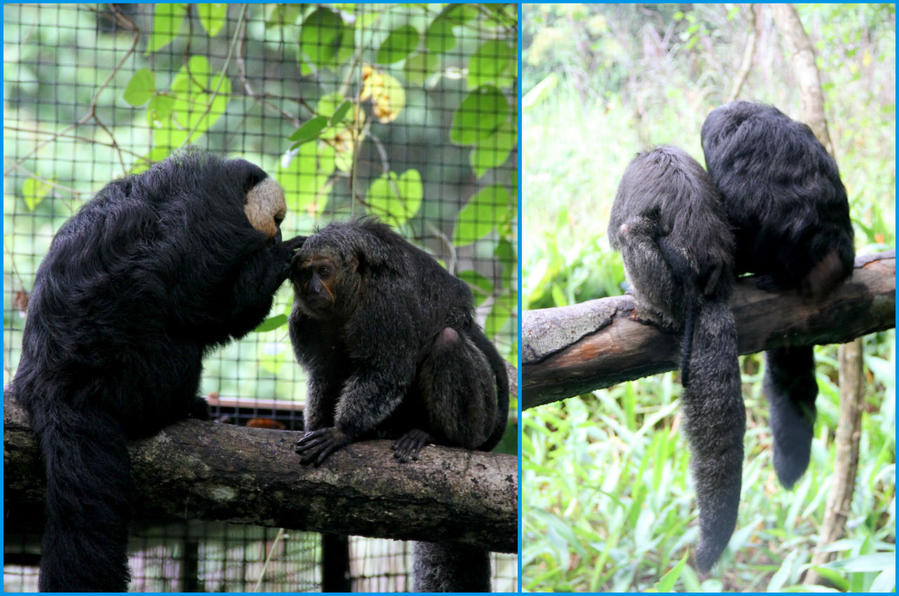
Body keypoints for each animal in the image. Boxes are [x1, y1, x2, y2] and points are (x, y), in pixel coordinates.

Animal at [11, 150, 306, 592]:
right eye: (278, 219)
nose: (276, 234)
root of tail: (51, 384)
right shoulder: (211, 220)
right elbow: (208, 305)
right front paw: (281, 257)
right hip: (133, 369)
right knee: (177, 341)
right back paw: (180, 408)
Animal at [290, 219, 510, 592]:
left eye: (324, 271)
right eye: (306, 274)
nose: (314, 288)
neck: (350, 300)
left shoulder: (384, 307)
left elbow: (386, 370)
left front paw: (341, 431)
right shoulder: (305, 320)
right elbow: (324, 373)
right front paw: (320, 426)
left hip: (483, 414)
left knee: (448, 341)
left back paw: (438, 436)